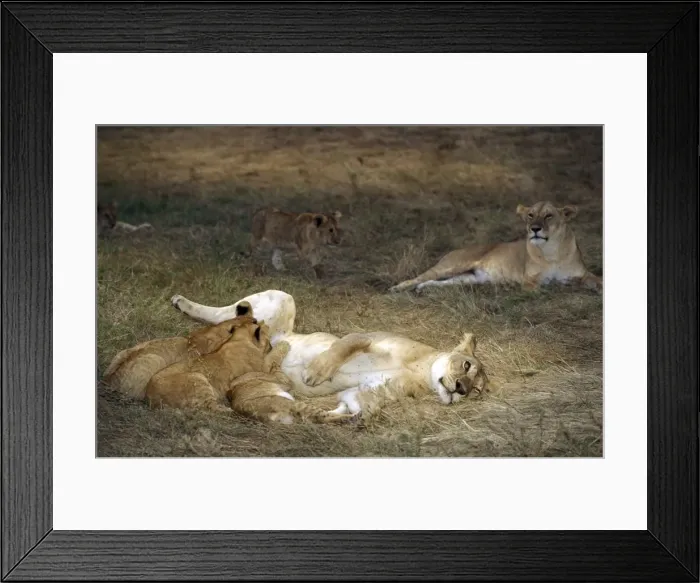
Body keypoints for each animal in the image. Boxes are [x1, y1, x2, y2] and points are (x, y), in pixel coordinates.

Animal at [170, 290, 489, 416]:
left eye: (477, 391)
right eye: (466, 365)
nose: (461, 389)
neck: (420, 372)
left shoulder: (376, 388)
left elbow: (359, 399)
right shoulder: (368, 336)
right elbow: (342, 346)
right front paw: (314, 373)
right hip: (282, 298)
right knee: (222, 314)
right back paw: (181, 302)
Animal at [389, 201, 602, 293]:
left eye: (549, 215)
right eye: (530, 215)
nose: (534, 229)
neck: (552, 251)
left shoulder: (584, 273)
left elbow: (596, 280)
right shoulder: (529, 282)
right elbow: (547, 286)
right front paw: (568, 285)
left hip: (467, 279)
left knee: (437, 282)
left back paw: (423, 289)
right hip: (451, 266)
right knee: (420, 277)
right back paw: (398, 287)